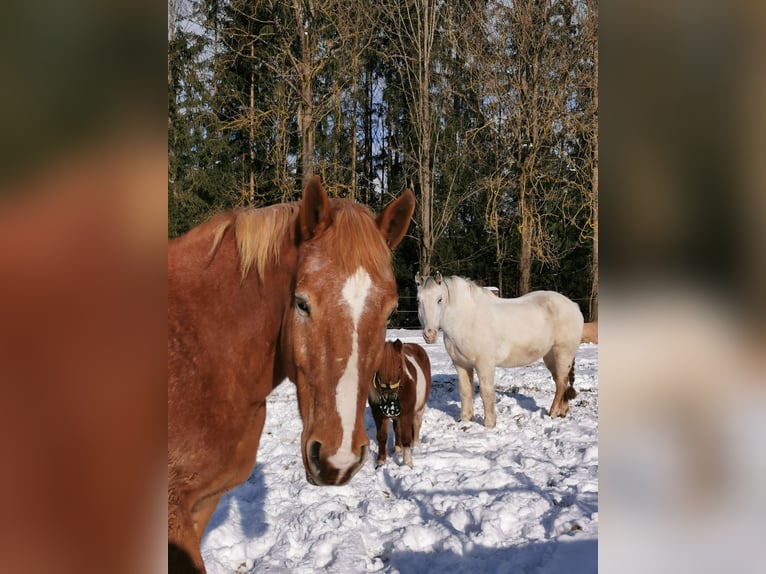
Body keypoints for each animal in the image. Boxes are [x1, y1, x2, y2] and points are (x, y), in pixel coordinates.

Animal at [416, 274, 584, 428]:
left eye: (440, 299)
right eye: (419, 300)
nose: (429, 334)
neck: (467, 318)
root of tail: (574, 306)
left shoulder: (484, 364)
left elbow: (486, 393)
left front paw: (489, 423)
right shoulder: (461, 364)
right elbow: (465, 391)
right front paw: (465, 419)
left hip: (563, 353)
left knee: (561, 383)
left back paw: (553, 412)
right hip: (550, 356)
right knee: (561, 382)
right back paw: (562, 412)